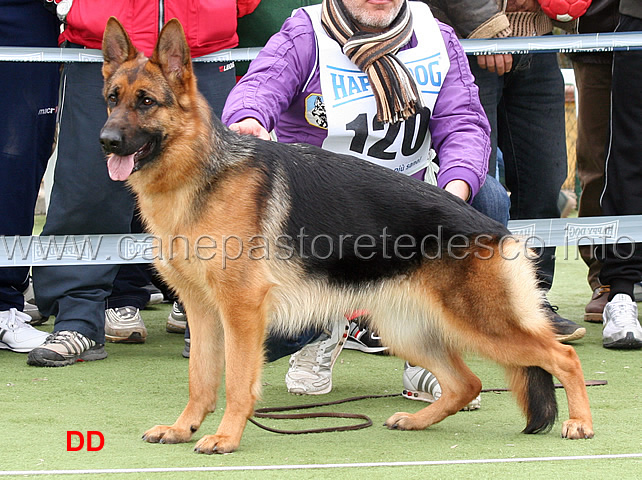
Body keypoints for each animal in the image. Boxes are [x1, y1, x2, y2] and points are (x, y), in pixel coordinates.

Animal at [100, 18, 596, 454]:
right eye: (112, 98)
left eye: (146, 102)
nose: (106, 141)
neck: (200, 172)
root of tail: (496, 230)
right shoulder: (203, 312)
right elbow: (201, 380)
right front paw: (183, 428)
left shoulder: (241, 313)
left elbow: (238, 382)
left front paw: (226, 437)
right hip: (409, 330)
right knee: (467, 382)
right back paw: (417, 420)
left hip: (481, 324)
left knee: (561, 358)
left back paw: (580, 423)